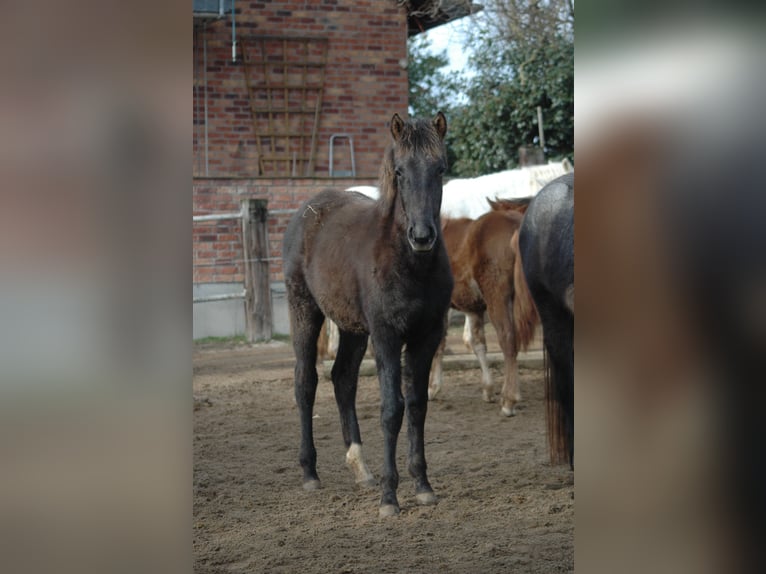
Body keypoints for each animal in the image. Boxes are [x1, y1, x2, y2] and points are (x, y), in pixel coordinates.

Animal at [282, 112, 453, 517]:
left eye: (441, 168)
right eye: (400, 171)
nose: (422, 236)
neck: (409, 264)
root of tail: (308, 210)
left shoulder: (427, 335)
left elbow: (417, 405)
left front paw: (423, 485)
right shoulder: (387, 335)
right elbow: (392, 409)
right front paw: (390, 498)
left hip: (353, 328)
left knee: (343, 379)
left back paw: (361, 469)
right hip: (304, 310)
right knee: (305, 381)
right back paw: (310, 472)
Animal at [429, 198, 539, 416]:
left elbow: (439, 343)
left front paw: (432, 387)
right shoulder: (474, 309)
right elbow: (477, 343)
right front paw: (487, 389)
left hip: (498, 298)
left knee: (507, 339)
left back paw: (509, 400)